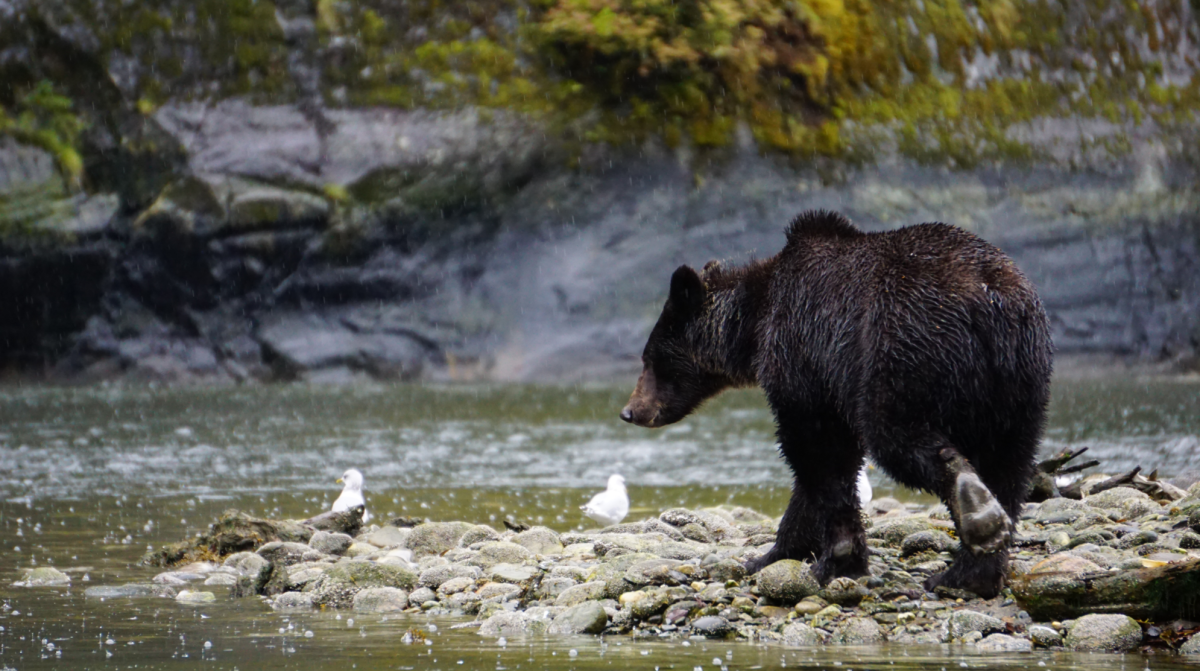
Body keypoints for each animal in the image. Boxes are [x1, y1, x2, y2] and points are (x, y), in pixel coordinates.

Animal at [619, 210, 1051, 597]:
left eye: (650, 358)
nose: (630, 411)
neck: (755, 324)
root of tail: (988, 300)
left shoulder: (806, 359)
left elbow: (819, 454)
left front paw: (833, 558)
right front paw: (771, 554)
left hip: (905, 351)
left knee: (896, 436)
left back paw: (972, 507)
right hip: (1019, 382)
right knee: (1008, 465)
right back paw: (969, 570)